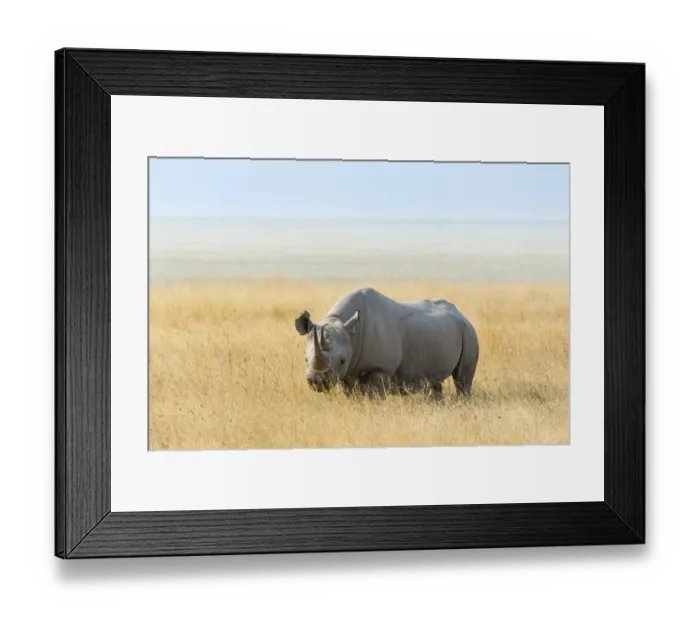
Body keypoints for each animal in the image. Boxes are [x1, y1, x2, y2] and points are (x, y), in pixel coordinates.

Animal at [294, 287, 479, 398]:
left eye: (342, 360)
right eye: (305, 359)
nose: (317, 381)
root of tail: (461, 314)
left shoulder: (381, 368)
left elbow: (374, 394)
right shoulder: (349, 370)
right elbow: (351, 393)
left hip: (468, 332)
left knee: (462, 379)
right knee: (435, 382)